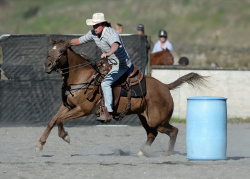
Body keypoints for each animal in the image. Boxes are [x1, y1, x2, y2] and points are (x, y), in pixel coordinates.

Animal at [35, 38, 207, 157]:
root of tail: (165, 86)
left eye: (62, 51)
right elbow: (52, 121)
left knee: (173, 130)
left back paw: (167, 153)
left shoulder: (82, 109)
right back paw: (142, 152)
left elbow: (60, 120)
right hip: (144, 117)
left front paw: (65, 136)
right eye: (50, 49)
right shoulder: (67, 106)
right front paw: (40, 144)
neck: (81, 77)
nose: (47, 65)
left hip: (157, 121)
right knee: (152, 134)